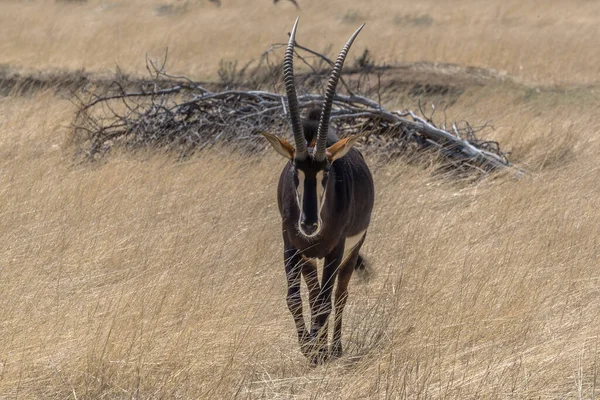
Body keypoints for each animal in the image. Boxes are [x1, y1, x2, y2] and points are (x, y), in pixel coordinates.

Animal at [262, 18, 376, 362]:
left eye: (326, 172)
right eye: (294, 171)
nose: (309, 224)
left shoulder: (335, 250)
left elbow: (326, 303)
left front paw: (319, 350)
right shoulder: (291, 246)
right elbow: (295, 298)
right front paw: (310, 349)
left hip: (350, 252)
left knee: (338, 294)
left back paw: (335, 347)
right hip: (309, 257)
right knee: (314, 293)